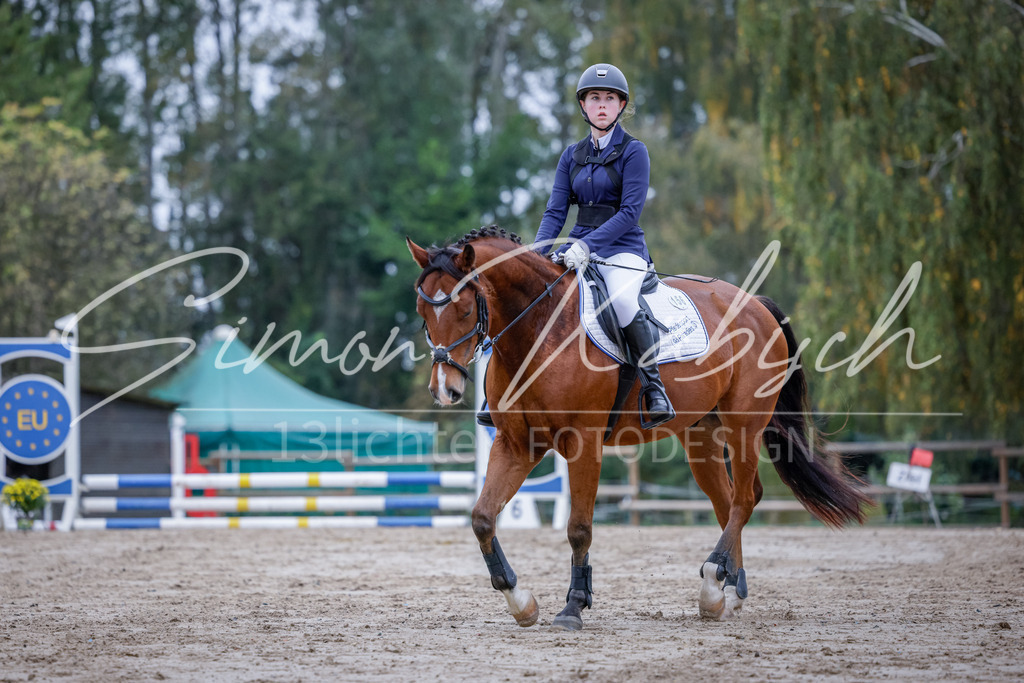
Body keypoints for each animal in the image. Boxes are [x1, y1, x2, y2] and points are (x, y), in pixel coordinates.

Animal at [407, 226, 871, 630]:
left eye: (465, 308)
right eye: (422, 312)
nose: (445, 390)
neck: (539, 327)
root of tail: (753, 302)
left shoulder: (583, 443)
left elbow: (579, 528)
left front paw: (574, 606)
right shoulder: (517, 444)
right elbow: (482, 518)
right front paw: (521, 603)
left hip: (744, 426)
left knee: (744, 498)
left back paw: (711, 582)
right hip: (701, 435)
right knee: (728, 501)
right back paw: (727, 593)